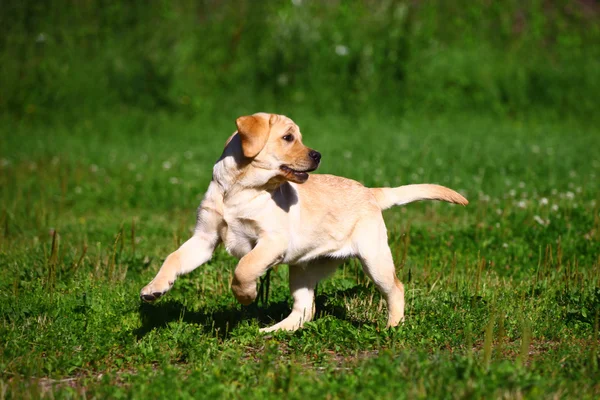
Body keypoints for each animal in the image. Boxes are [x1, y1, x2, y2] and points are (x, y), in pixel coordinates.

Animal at [142, 112, 468, 332]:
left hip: (375, 260)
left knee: (395, 290)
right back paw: (274, 331)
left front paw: (246, 296)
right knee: (305, 308)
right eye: (288, 137)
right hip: (302, 269)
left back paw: (392, 328)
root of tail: (370, 191)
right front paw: (153, 288)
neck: (239, 188)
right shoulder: (204, 238)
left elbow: (244, 267)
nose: (318, 155)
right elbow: (173, 258)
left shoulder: (271, 240)